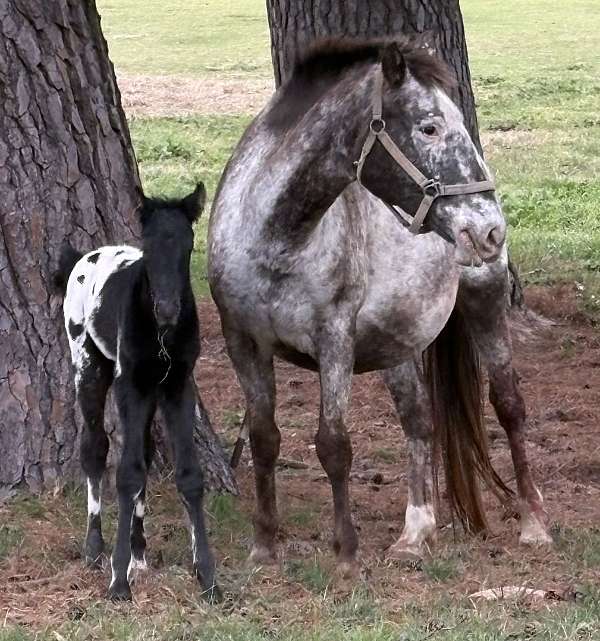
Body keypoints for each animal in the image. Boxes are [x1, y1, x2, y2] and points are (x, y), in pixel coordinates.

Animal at [54, 185, 221, 602]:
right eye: (148, 244)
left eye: (189, 244)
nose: (168, 309)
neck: (161, 335)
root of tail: (82, 259)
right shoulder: (129, 384)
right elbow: (127, 473)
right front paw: (118, 581)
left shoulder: (177, 386)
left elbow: (188, 474)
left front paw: (208, 577)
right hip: (91, 368)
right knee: (95, 449)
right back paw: (95, 548)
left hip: (149, 393)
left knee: (142, 451)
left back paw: (139, 552)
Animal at [207, 37, 550, 576]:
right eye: (429, 127)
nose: (490, 229)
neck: (275, 240)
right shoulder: (242, 342)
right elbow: (264, 439)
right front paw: (264, 546)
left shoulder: (334, 340)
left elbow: (334, 444)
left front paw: (346, 554)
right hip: (397, 338)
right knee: (419, 418)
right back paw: (415, 532)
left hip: (486, 299)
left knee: (509, 405)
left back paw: (533, 523)